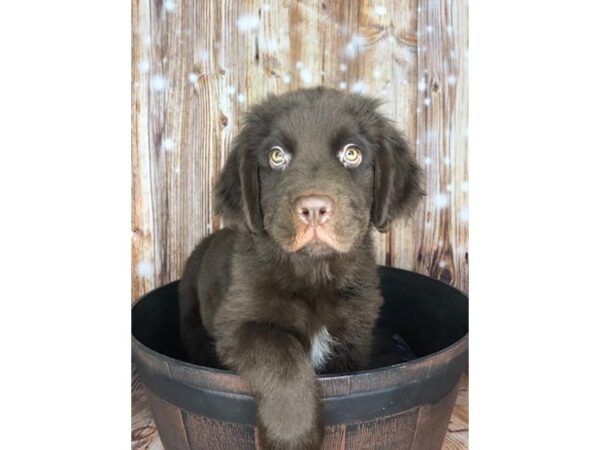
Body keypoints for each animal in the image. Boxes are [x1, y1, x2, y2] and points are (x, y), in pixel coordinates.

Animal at [178, 88, 422, 450]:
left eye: (352, 154)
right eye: (277, 156)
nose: (314, 209)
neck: (313, 274)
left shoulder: (354, 338)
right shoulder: (235, 323)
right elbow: (281, 351)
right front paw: (292, 435)